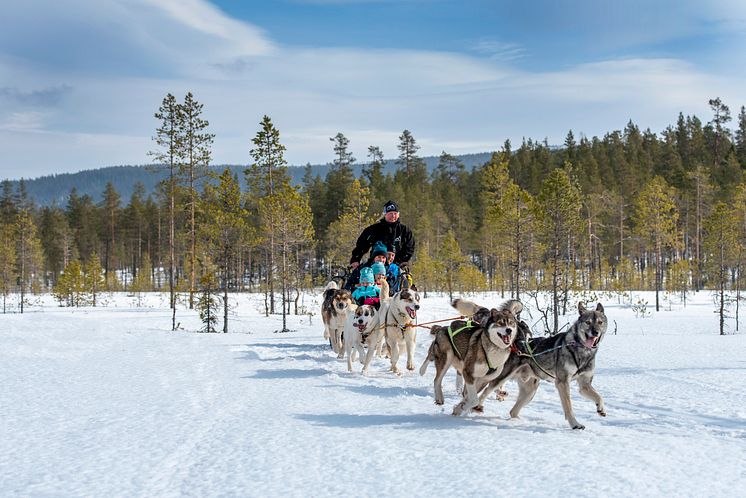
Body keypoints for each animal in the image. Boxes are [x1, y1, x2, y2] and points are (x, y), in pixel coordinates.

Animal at [476, 302, 604, 430]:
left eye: (600, 322)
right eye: (587, 322)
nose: (595, 332)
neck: (582, 350)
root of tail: (514, 344)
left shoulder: (584, 384)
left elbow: (599, 397)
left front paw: (600, 408)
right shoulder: (562, 383)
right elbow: (568, 407)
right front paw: (575, 424)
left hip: (530, 390)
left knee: (512, 411)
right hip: (500, 378)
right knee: (484, 391)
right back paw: (476, 406)